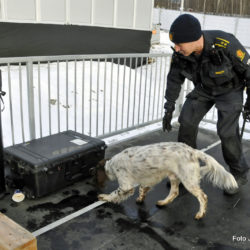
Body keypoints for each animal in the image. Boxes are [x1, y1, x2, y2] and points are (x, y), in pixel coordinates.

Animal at [96, 142, 238, 220]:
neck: (112, 165)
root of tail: (193, 151)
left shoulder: (126, 185)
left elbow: (115, 193)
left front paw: (104, 197)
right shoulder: (147, 179)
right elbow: (142, 188)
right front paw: (141, 198)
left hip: (188, 180)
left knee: (203, 197)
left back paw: (200, 214)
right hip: (174, 176)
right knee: (174, 192)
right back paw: (163, 203)